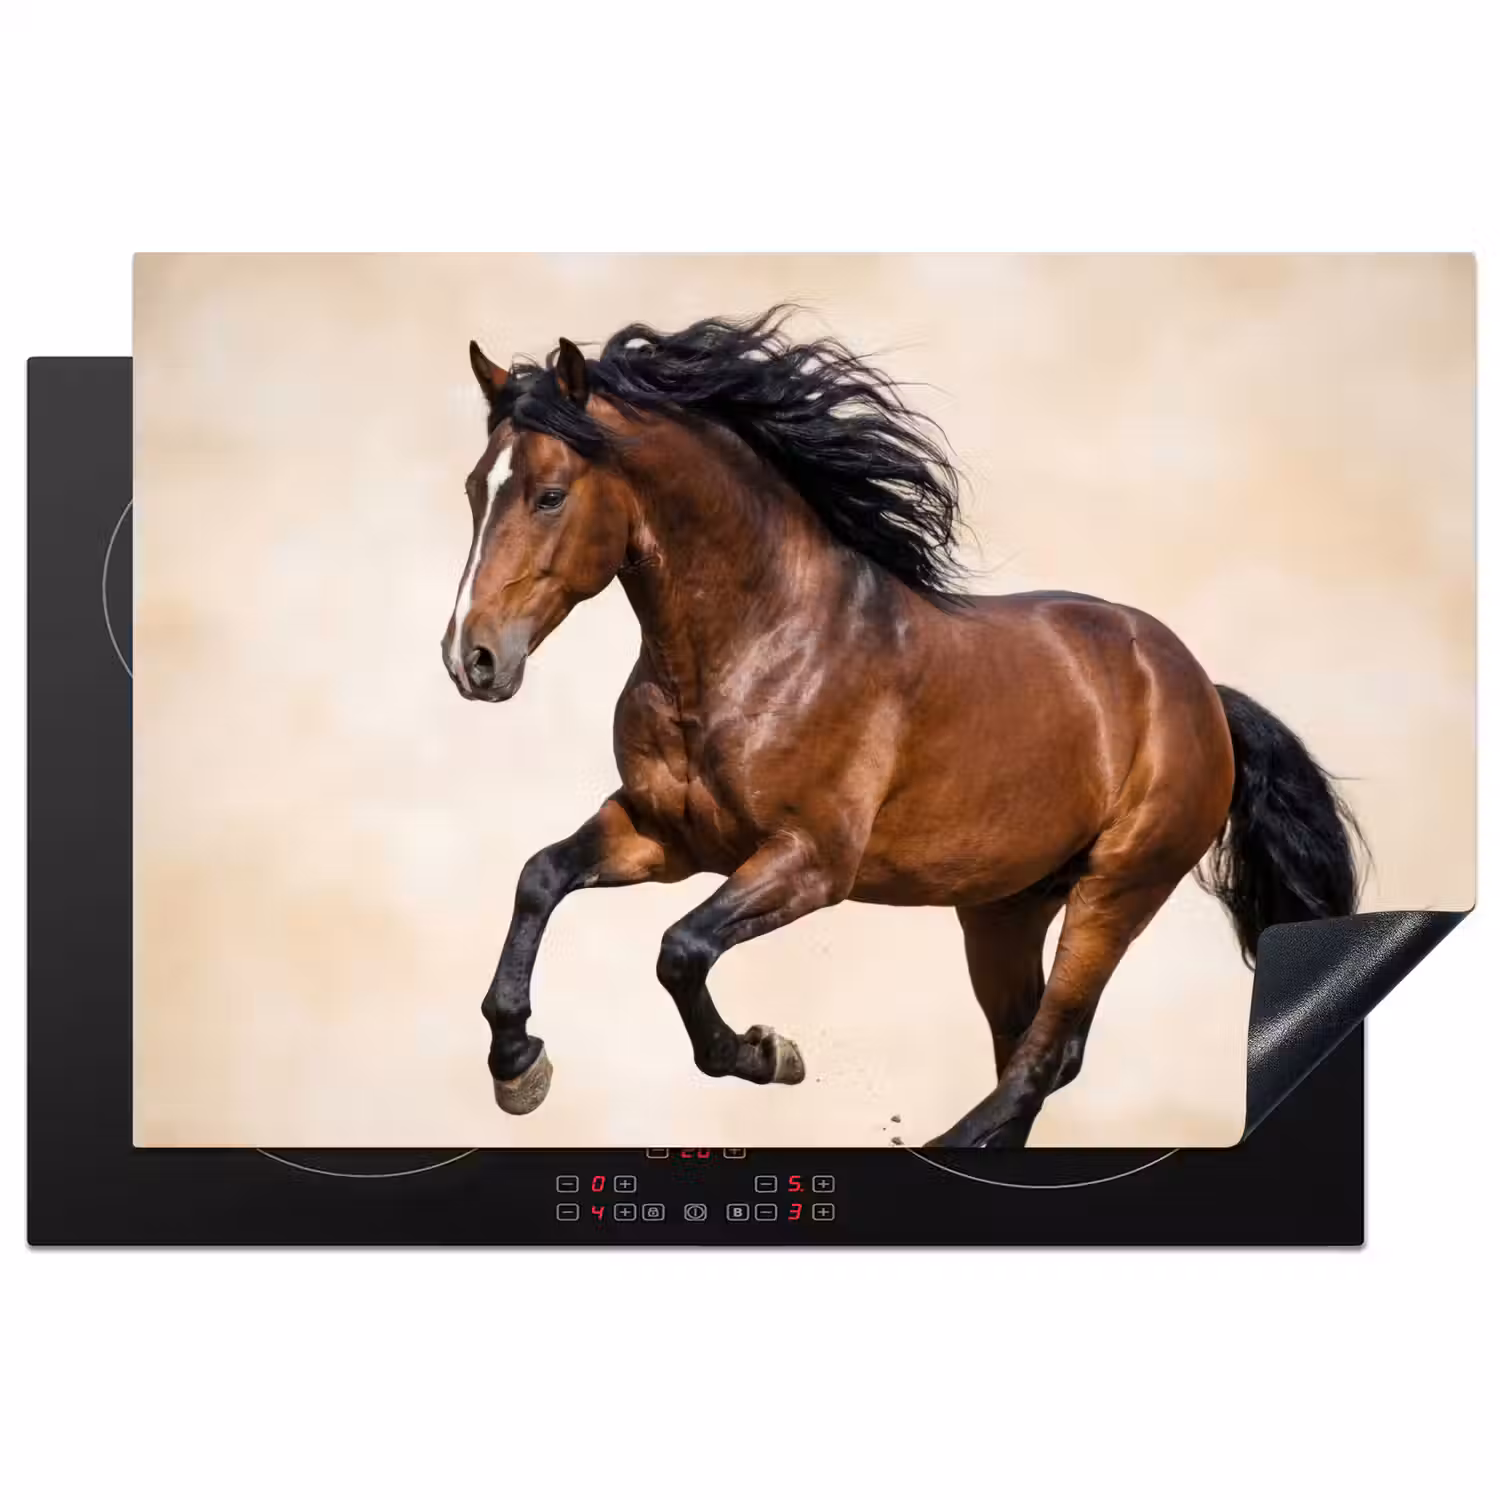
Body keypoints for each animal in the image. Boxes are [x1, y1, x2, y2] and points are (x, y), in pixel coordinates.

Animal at [441, 309, 1364, 1147]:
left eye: (550, 495)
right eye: (475, 488)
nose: (471, 658)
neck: (757, 645)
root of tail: (1200, 690)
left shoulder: (812, 861)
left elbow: (681, 948)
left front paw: (767, 1053)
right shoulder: (666, 836)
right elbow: (540, 877)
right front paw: (518, 1066)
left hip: (1119, 888)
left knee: (1045, 1053)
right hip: (1005, 907)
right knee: (1029, 1046)